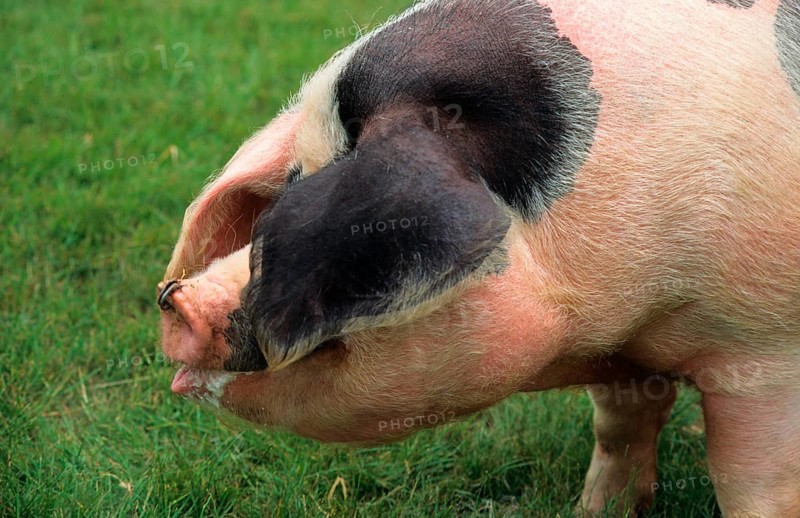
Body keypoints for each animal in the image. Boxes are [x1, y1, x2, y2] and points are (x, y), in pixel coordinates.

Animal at [158, 0, 800, 515]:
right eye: (290, 182)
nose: (176, 299)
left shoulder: (764, 351)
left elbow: (751, 481)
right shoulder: (624, 352)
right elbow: (619, 427)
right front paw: (595, 511)